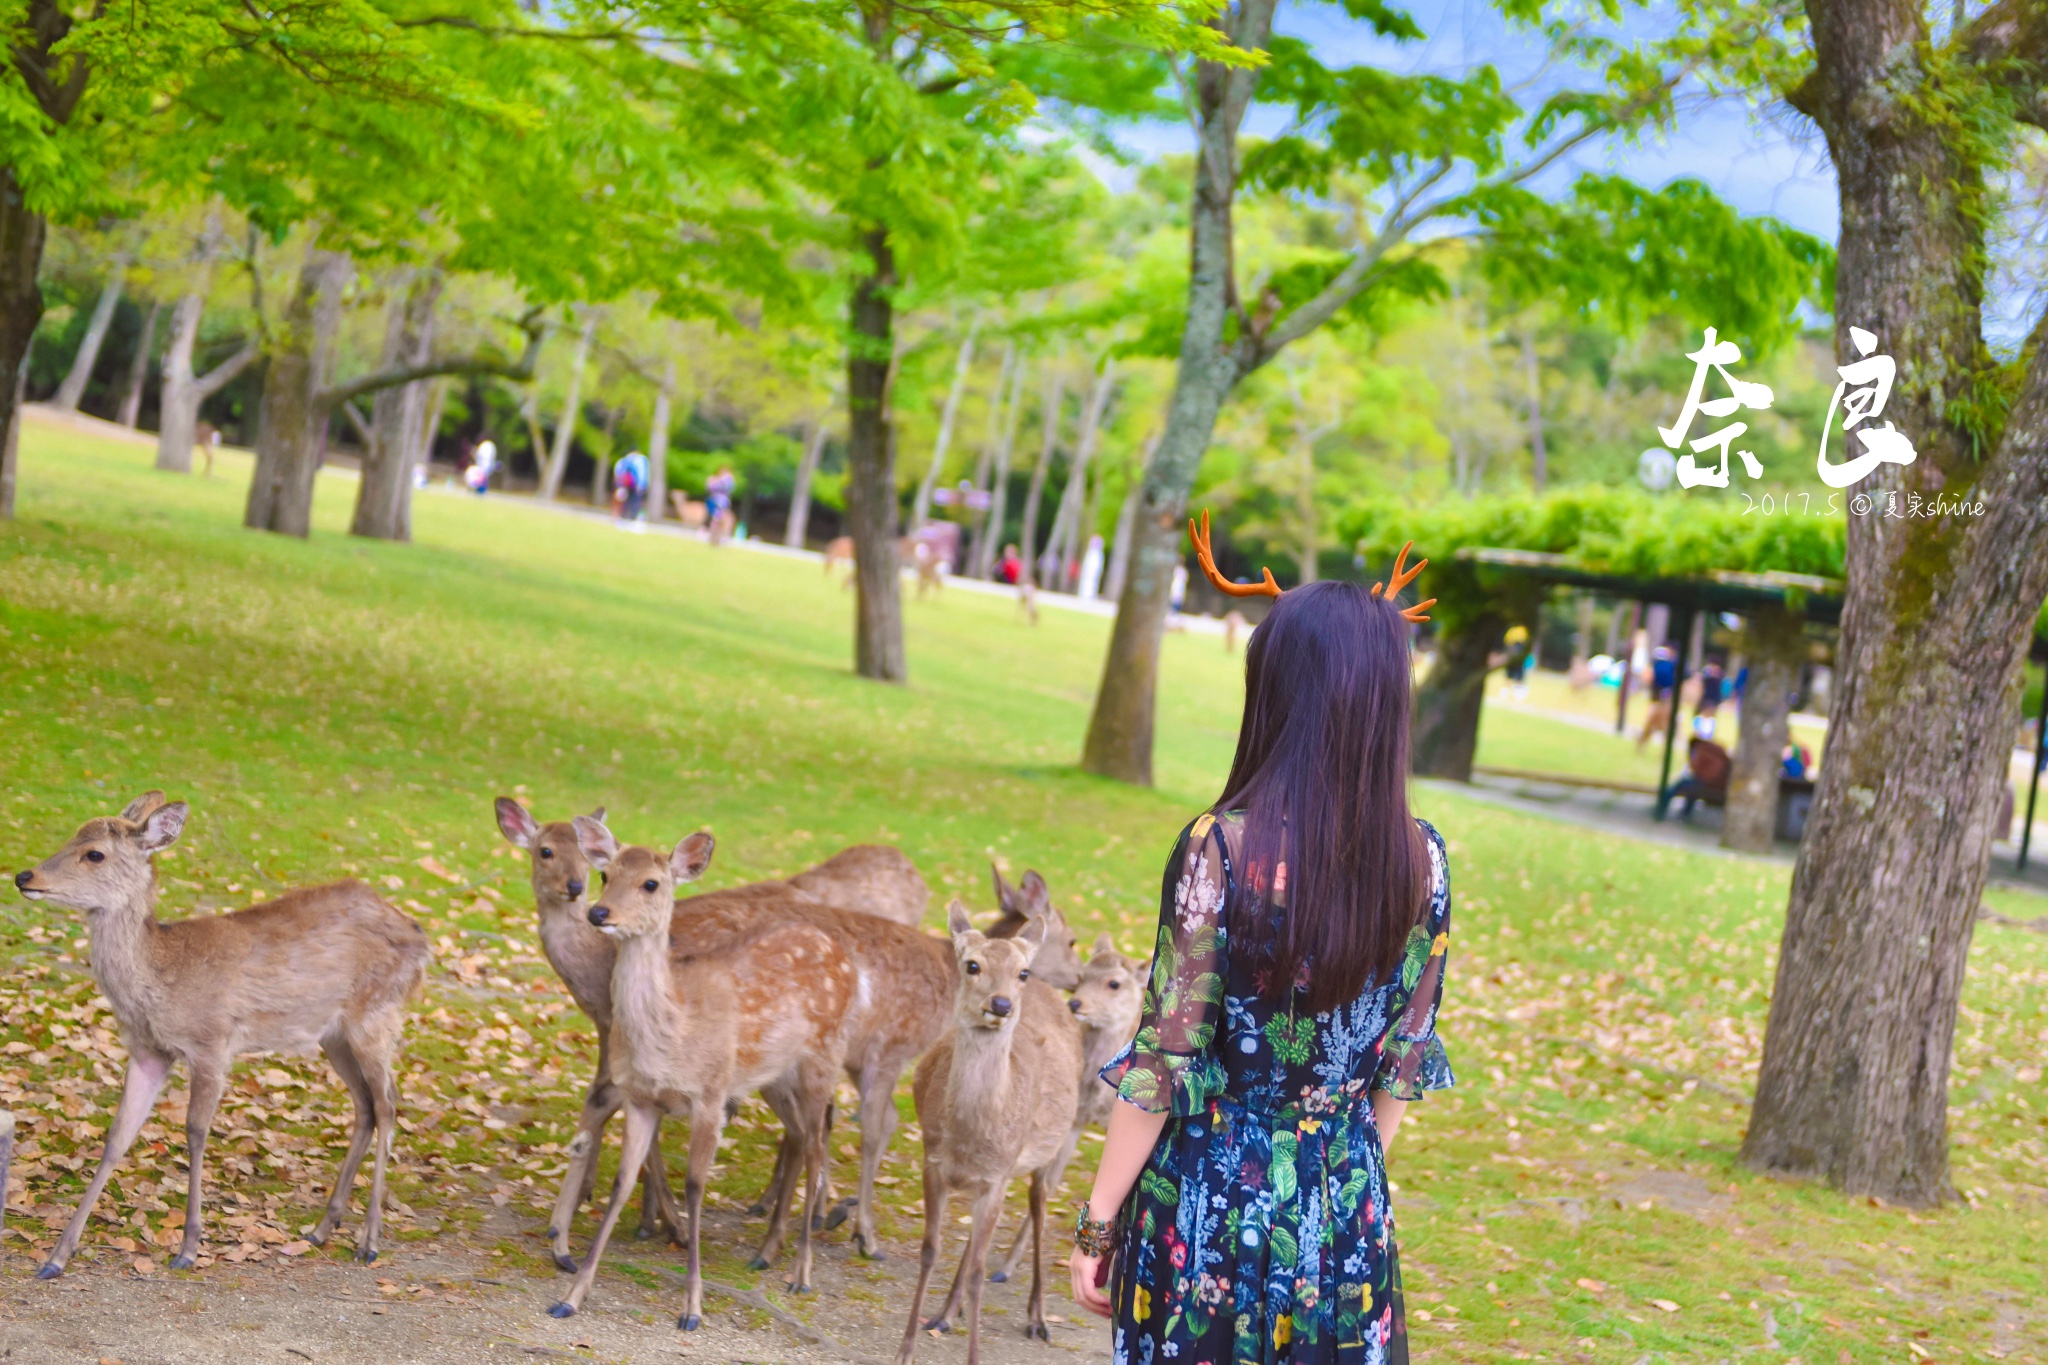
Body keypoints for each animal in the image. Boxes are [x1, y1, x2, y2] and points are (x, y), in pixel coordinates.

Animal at [12, 794, 432, 1277]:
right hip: (333, 1035)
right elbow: (117, 1136)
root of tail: (421, 938)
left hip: (376, 1014)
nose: (25, 876)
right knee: (364, 1104)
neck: (163, 981)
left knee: (388, 1103)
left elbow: (195, 1131)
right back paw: (321, 1229)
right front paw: (57, 1257)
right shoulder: (147, 1050)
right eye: (74, 834)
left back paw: (369, 1240)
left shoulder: (212, 1043)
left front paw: (188, 1248)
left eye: (94, 853)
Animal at [540, 822, 851, 1334]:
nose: (598, 912)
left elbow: (695, 1185)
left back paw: (802, 1275)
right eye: (605, 874)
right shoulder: (641, 1099)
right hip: (776, 1077)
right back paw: (767, 1253)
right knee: (802, 1136)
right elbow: (623, 1181)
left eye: (651, 883)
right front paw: (571, 1296)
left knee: (818, 1146)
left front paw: (692, 1308)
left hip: (823, 1058)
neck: (673, 1034)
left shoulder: (711, 1093)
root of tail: (838, 950)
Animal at [901, 896, 1089, 1365]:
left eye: (1021, 971)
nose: (1001, 1004)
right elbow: (931, 1252)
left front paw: (974, 1355)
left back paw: (1037, 1317)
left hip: (1042, 1153)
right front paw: (906, 1349)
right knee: (973, 1244)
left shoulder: (998, 1176)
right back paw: (945, 1313)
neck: (969, 1140)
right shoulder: (934, 1163)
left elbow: (979, 1273)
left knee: (1039, 1204)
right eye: (971, 965)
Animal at [987, 933, 1146, 1285]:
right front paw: (1006, 1266)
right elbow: (1048, 1186)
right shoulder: (1074, 1121)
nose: (1076, 1004)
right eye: (1082, 976)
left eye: (1114, 983)